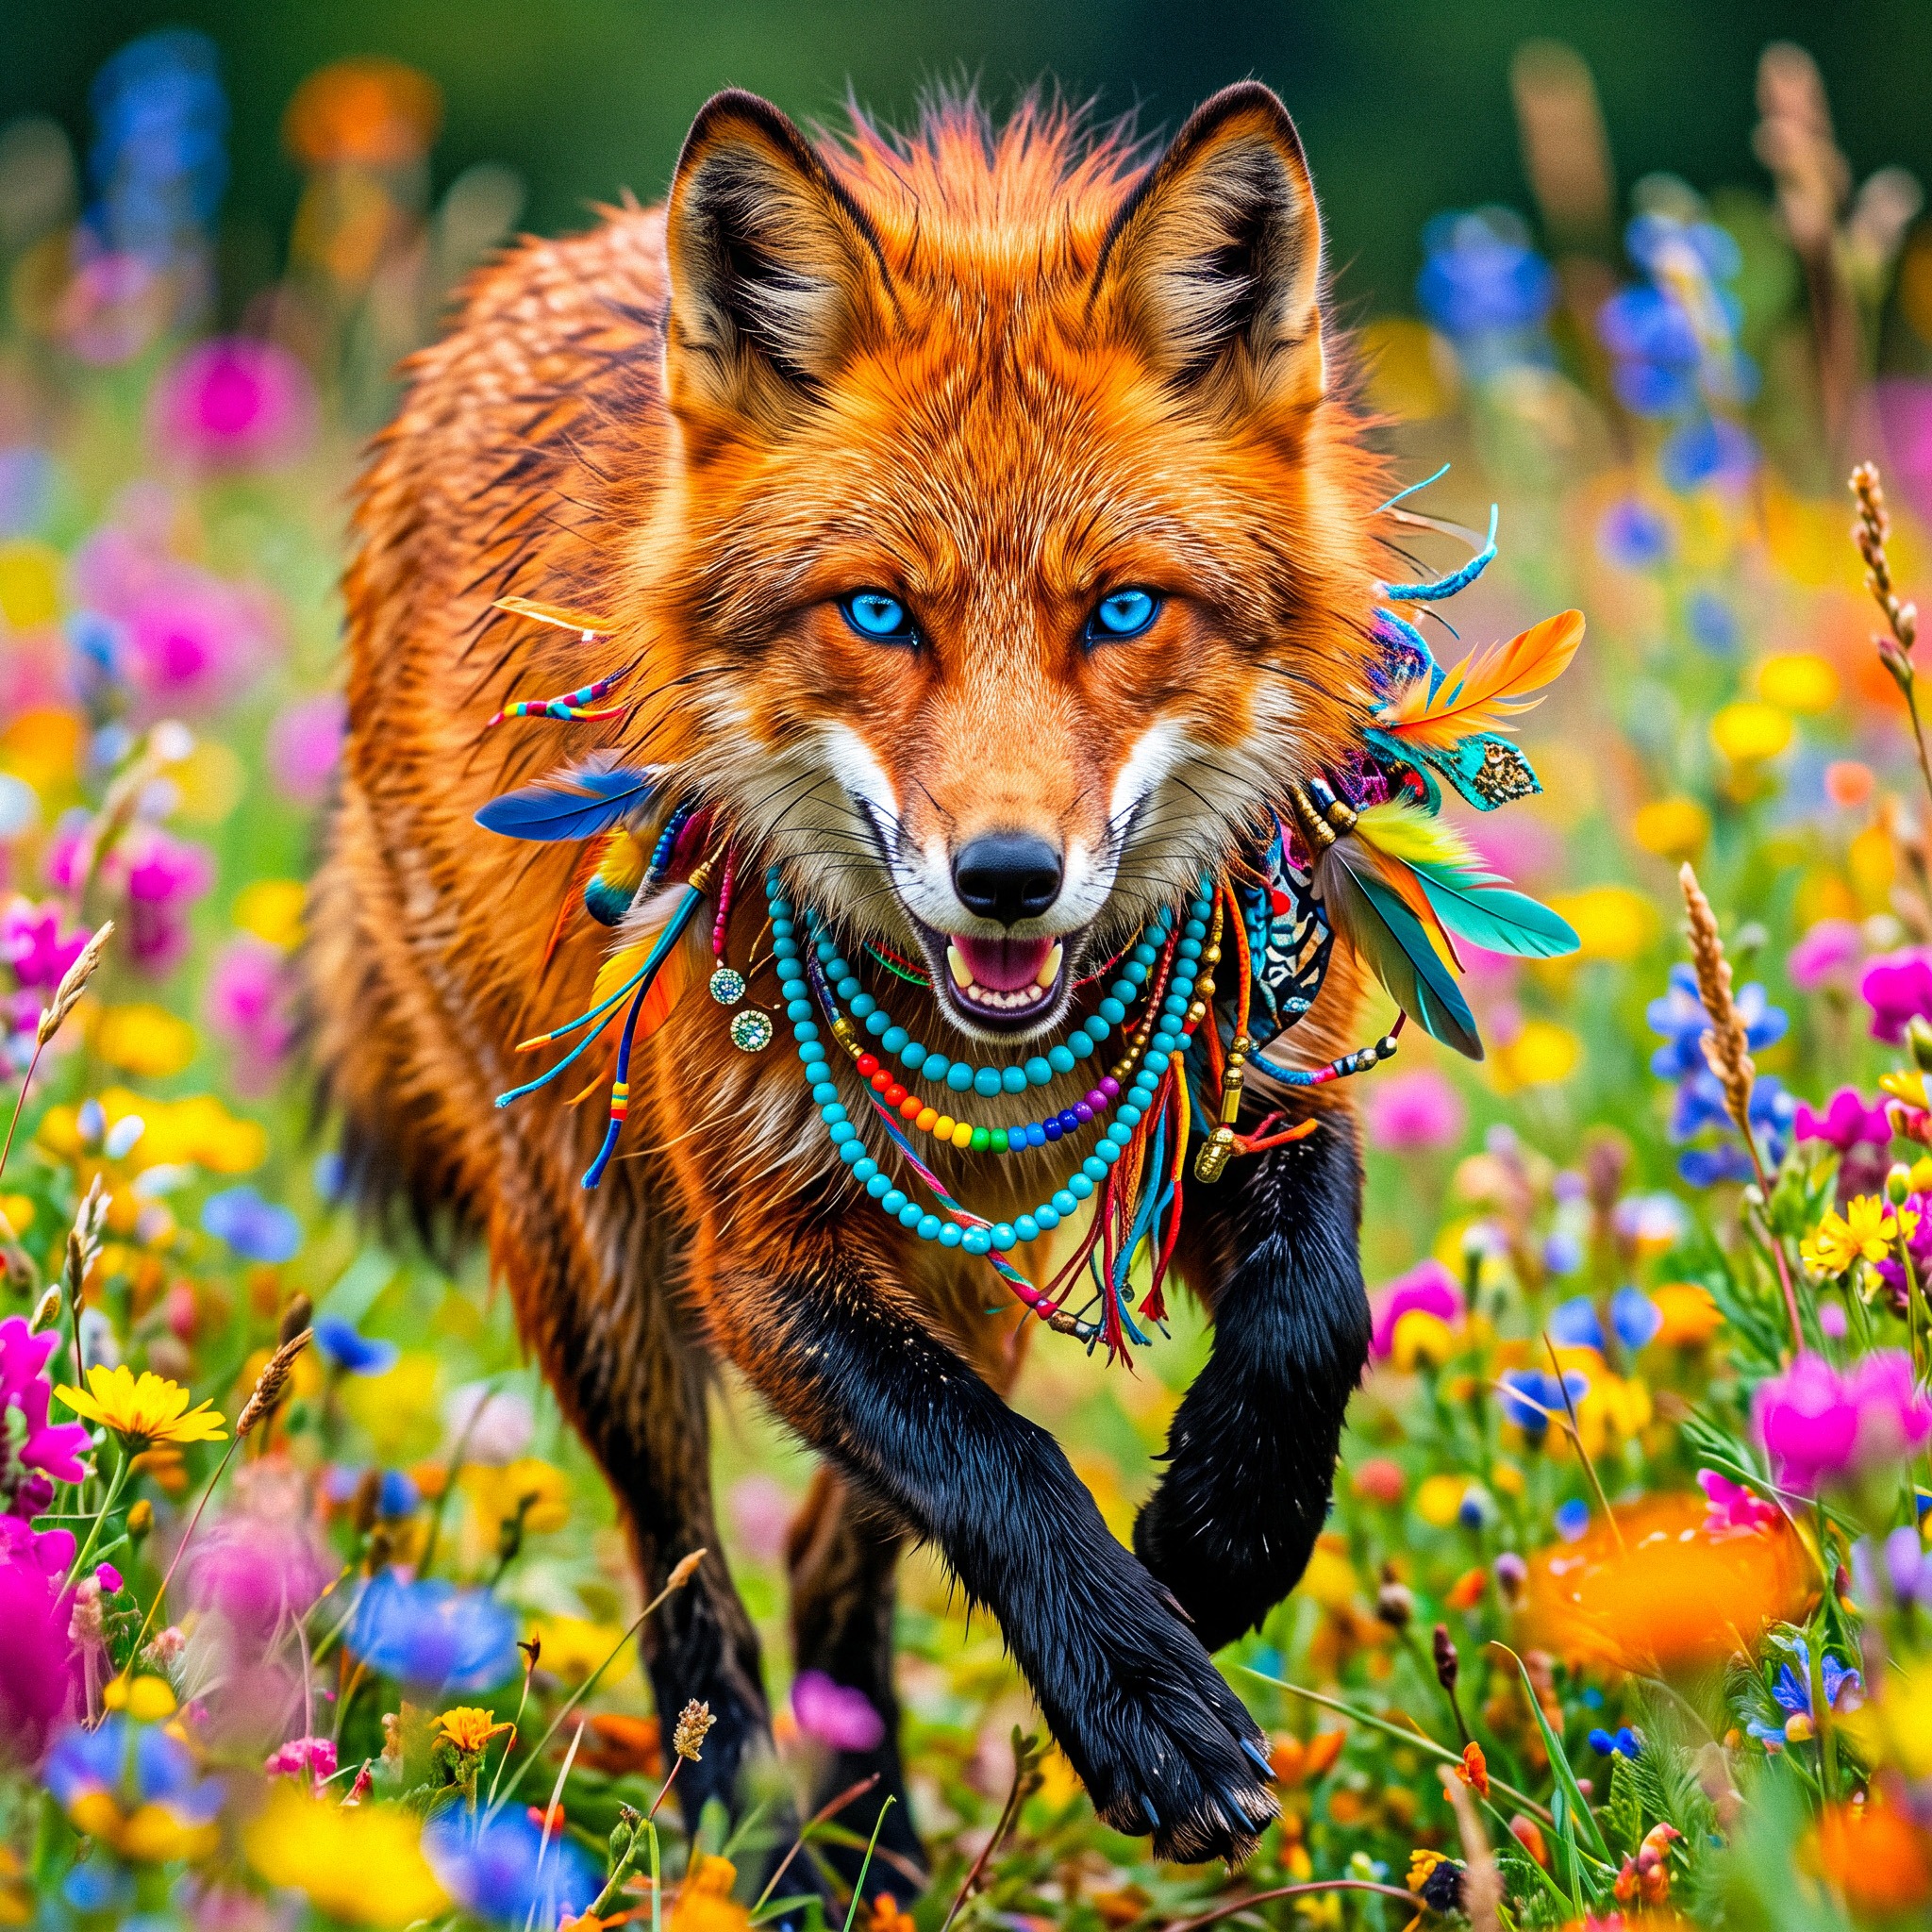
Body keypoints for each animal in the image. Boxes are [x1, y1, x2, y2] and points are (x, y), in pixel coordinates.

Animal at [309, 81, 1397, 1881]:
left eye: (1123, 609)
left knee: (833, 1547)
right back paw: (756, 1853)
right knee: (689, 1585)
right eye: (879, 613)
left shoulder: (1231, 1101)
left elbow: (1315, 1311)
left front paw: (1225, 1531)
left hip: (971, 1274)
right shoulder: (758, 1256)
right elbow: (1000, 1470)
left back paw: (876, 1841)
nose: (1008, 877)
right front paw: (1148, 1710)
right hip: (602, 1268)